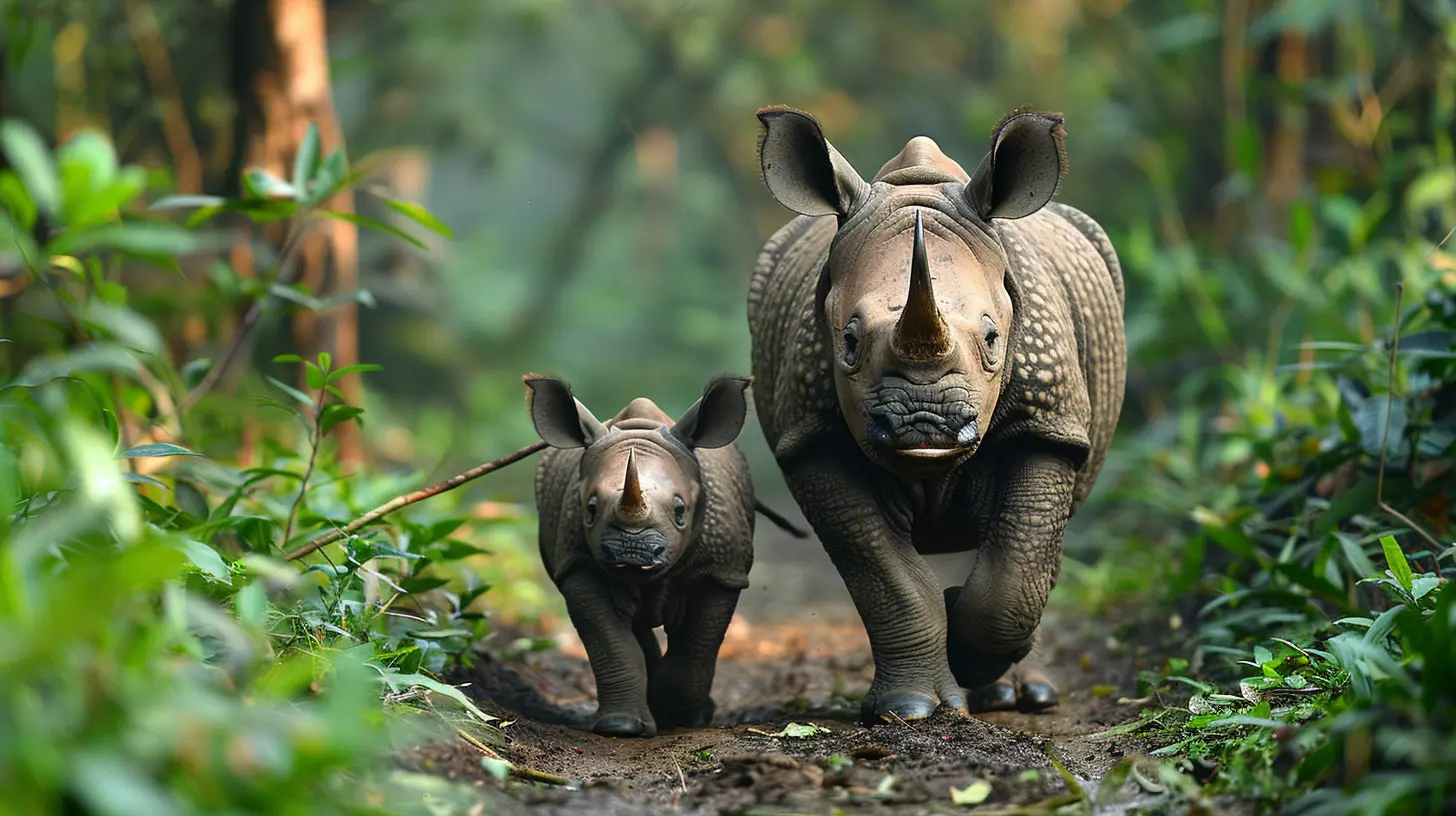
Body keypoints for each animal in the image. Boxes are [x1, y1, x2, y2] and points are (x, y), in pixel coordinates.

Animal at [525, 374, 756, 737]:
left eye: (680, 511)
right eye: (590, 509)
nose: (632, 551)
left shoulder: (723, 571)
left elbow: (698, 644)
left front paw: (678, 717)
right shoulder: (577, 565)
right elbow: (611, 642)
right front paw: (622, 726)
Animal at [746, 105, 1126, 724]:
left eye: (993, 339)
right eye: (848, 342)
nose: (924, 426)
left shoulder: (1048, 421)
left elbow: (1019, 564)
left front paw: (969, 656)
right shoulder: (812, 437)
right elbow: (883, 574)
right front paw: (908, 708)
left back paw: (1027, 696)